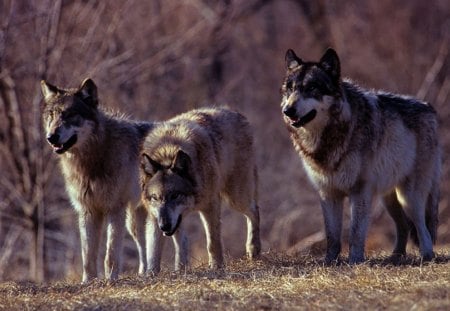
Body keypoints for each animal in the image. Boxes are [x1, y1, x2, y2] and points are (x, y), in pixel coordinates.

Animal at [40, 78, 151, 282]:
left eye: (69, 115)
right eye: (51, 115)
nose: (51, 137)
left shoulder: (115, 209)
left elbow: (111, 253)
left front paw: (111, 280)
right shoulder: (87, 210)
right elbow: (88, 255)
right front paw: (88, 282)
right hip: (134, 222)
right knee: (144, 245)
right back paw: (146, 273)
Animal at [140, 108, 260, 272]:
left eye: (175, 195)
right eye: (155, 198)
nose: (164, 226)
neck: (168, 152)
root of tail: (237, 113)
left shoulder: (210, 206)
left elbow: (212, 243)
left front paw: (217, 267)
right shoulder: (154, 217)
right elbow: (153, 252)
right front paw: (151, 275)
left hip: (236, 197)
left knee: (255, 210)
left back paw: (254, 249)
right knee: (182, 241)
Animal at [280, 48, 442, 266]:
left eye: (311, 88)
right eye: (290, 89)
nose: (287, 110)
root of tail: (429, 107)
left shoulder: (360, 191)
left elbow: (356, 233)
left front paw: (355, 261)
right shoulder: (328, 193)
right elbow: (332, 235)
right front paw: (330, 262)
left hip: (410, 196)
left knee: (422, 227)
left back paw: (426, 256)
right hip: (389, 199)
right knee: (403, 226)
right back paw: (395, 257)